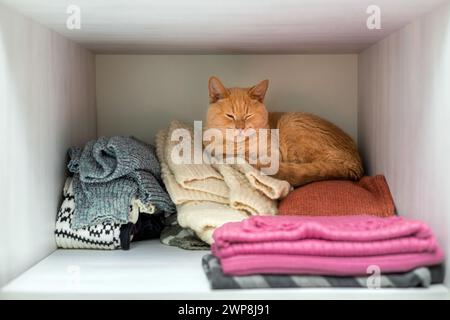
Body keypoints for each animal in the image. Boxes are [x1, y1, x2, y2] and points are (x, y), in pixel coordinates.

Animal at [206, 77, 364, 188]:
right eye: (230, 116)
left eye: (248, 115)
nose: (240, 128)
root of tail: (356, 162)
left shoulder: (274, 155)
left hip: (291, 122)